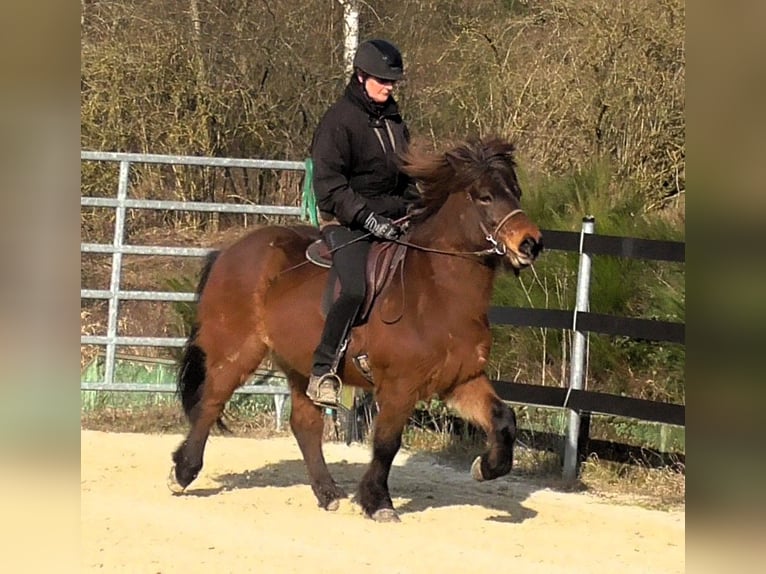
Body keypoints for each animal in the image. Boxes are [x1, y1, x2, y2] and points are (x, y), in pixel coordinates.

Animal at [169, 136, 543, 522]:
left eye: (515, 192)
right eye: (484, 196)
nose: (531, 243)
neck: (436, 294)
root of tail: (228, 252)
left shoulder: (462, 379)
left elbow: (504, 419)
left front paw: (485, 467)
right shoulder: (398, 387)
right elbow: (387, 443)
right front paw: (378, 502)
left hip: (301, 367)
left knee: (304, 425)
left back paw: (328, 492)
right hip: (238, 352)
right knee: (210, 403)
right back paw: (182, 473)